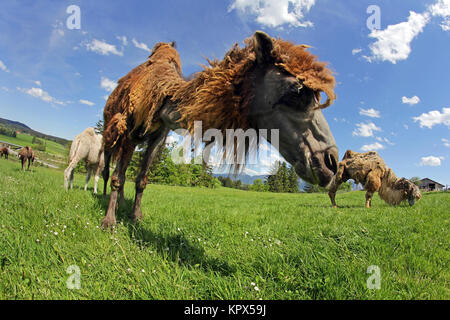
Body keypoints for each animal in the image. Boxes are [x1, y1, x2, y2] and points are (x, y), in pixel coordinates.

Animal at [98, 31, 338, 228]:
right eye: (297, 90)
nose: (331, 162)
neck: (162, 101)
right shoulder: (129, 128)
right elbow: (118, 177)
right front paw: (109, 222)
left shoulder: (158, 136)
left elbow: (141, 179)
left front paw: (136, 217)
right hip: (111, 132)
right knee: (107, 169)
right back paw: (102, 197)